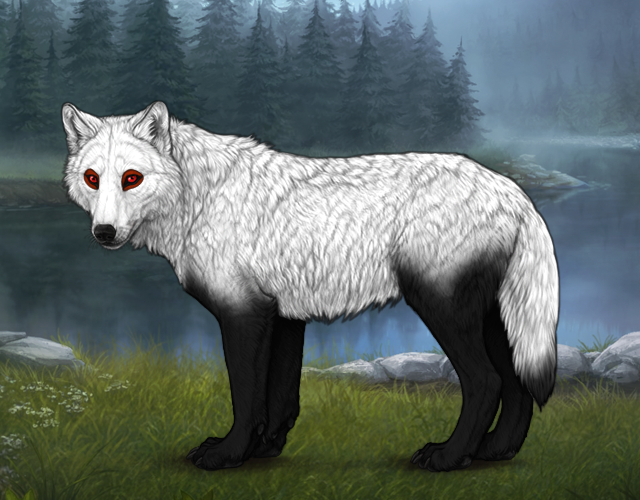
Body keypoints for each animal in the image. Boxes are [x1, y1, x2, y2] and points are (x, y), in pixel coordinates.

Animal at [61, 101, 559, 472]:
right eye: (92, 178)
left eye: (131, 178)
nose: (103, 232)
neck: (197, 200)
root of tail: (515, 192)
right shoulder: (282, 316)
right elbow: (279, 397)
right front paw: (264, 450)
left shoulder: (245, 313)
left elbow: (246, 393)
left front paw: (227, 455)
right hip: (490, 317)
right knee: (516, 382)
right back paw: (495, 452)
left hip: (441, 306)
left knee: (486, 381)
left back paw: (449, 457)